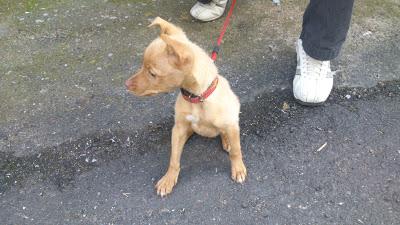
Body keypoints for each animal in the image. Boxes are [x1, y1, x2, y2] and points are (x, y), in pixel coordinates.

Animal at [126, 17, 247, 197]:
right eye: (142, 65)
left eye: (152, 73)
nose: (126, 85)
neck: (197, 98)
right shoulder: (179, 127)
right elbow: (174, 159)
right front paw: (168, 179)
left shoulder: (230, 124)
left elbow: (236, 151)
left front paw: (238, 169)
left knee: (226, 135)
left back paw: (227, 141)